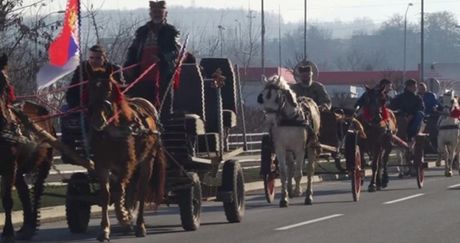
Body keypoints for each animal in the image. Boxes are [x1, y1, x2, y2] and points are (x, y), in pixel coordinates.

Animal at [0, 54, 55, 242]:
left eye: (6, 84)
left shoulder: (9, 165)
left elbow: (7, 199)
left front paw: (8, 231)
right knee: (24, 193)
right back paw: (25, 228)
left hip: (44, 161)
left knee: (36, 190)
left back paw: (30, 227)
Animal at [85, 74, 166, 241]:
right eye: (90, 87)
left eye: (109, 88)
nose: (97, 120)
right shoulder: (102, 165)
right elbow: (107, 195)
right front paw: (105, 229)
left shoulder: (126, 163)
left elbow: (119, 190)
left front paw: (124, 217)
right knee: (132, 189)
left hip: (147, 161)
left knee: (141, 190)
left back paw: (139, 225)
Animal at [256, 74, 318, 207]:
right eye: (263, 98)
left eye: (277, 98)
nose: (269, 121)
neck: (289, 120)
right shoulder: (280, 148)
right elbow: (284, 173)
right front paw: (284, 198)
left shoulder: (300, 149)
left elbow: (299, 173)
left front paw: (299, 191)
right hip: (289, 150)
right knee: (290, 166)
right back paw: (290, 190)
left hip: (311, 146)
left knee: (310, 170)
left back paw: (308, 195)